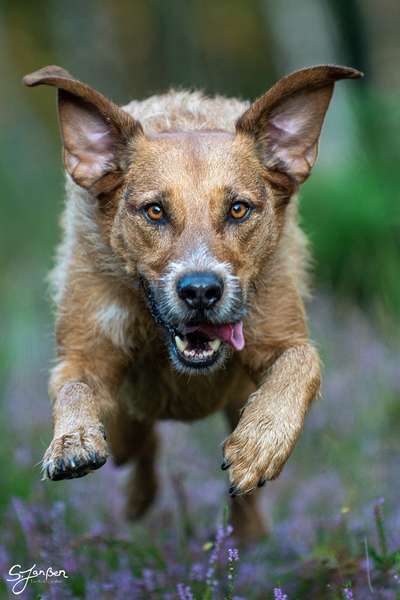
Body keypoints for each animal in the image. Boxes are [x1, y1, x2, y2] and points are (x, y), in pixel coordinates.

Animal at [24, 63, 362, 540]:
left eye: (238, 209)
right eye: (154, 211)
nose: (201, 290)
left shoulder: (282, 336)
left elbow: (303, 362)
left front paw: (259, 445)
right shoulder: (85, 355)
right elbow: (74, 386)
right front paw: (72, 441)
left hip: (235, 400)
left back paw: (248, 530)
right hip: (127, 418)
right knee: (139, 447)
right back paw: (136, 501)